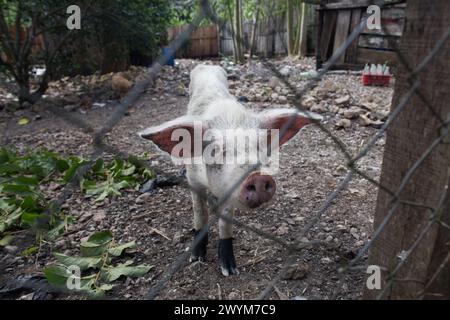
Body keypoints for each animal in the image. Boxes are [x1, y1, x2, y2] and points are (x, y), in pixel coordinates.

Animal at [139, 64, 322, 276]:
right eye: (215, 149)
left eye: (259, 146)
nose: (257, 177)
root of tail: (207, 65)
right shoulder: (193, 179)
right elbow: (199, 212)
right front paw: (197, 258)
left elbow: (225, 222)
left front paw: (229, 271)